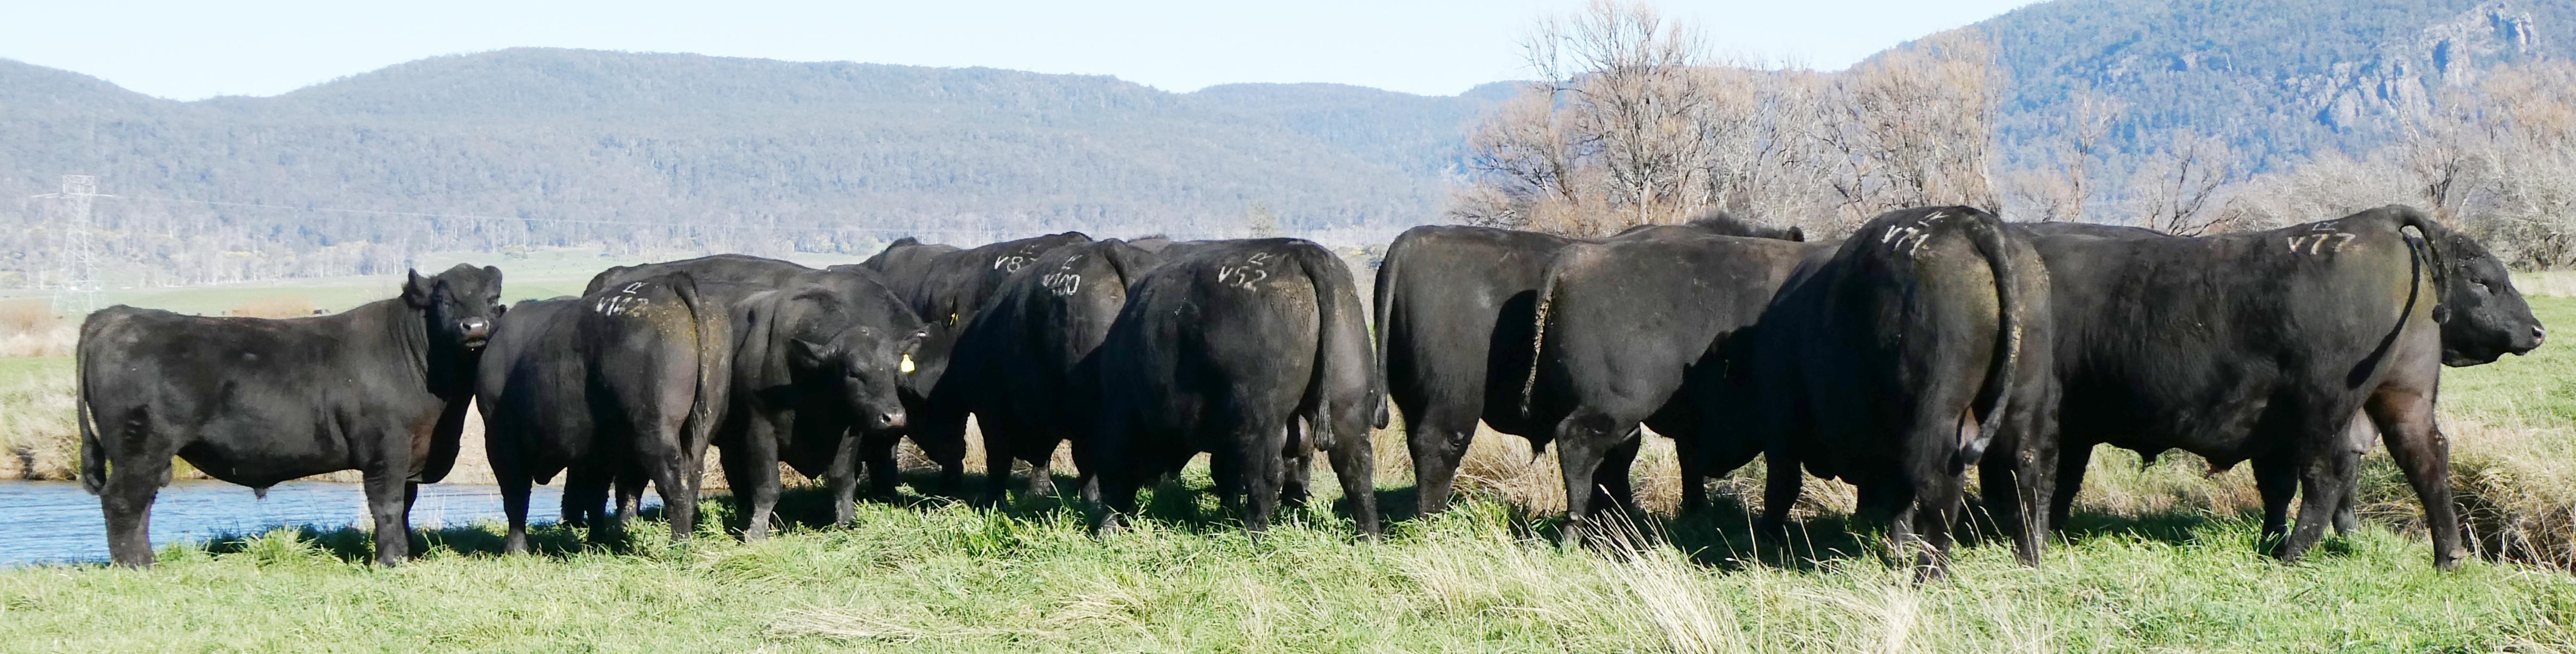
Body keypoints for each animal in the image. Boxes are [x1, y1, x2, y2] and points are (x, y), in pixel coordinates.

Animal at [77, 264, 503, 567]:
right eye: (445, 301)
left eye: (492, 298)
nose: (474, 327)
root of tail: (117, 316)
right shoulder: (385, 449)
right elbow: (387, 505)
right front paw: (390, 561)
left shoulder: (411, 452)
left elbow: (405, 506)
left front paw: (405, 553)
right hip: (140, 445)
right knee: (123, 501)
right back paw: (135, 566)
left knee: (142, 502)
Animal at [1084, 238, 1384, 537]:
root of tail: (1300, 251)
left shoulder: (1122, 416)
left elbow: (1118, 474)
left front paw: (1106, 529)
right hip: (1347, 406)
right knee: (1355, 468)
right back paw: (1368, 535)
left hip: (1261, 418)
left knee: (1267, 474)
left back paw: (1252, 531)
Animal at [1738, 206, 2054, 580]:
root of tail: (1972, 222)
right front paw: (1899, 543)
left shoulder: (1781, 426)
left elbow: (1782, 485)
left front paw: (1765, 536)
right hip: (2020, 403)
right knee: (2024, 468)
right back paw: (2029, 560)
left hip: (1940, 414)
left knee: (1940, 482)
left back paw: (1929, 572)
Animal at [2011, 206, 2543, 569]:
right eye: (2483, 281)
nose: (2537, 330)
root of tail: (2374, 220)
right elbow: (2275, 488)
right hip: (2397, 399)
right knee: (2424, 457)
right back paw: (2446, 555)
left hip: (2325, 410)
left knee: (2327, 477)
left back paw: (2291, 554)